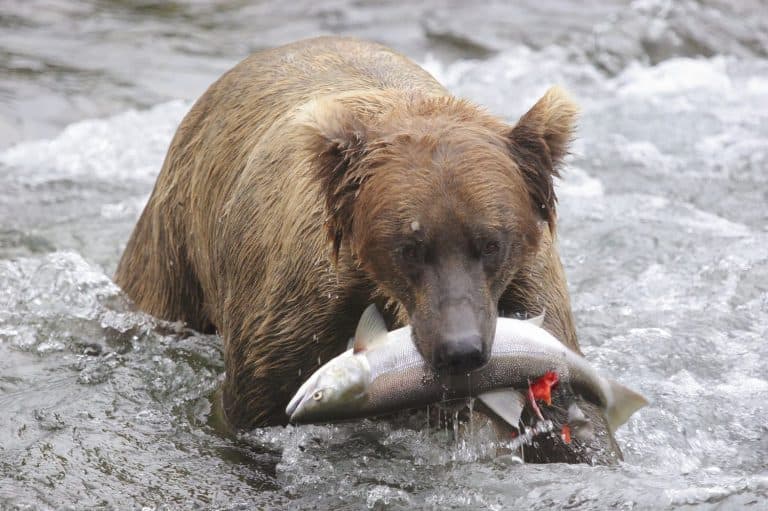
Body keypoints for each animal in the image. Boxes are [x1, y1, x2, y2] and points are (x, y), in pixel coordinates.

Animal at [116, 36, 621, 463]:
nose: (461, 349)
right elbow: (252, 412)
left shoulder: (528, 296)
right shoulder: (297, 312)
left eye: (491, 242)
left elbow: (576, 424)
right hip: (173, 243)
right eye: (410, 247)